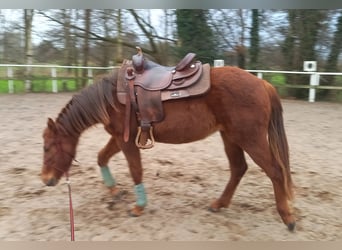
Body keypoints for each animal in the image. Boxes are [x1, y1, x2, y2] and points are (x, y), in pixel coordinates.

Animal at [40, 64, 296, 230]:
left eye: (47, 147)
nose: (46, 180)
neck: (112, 97)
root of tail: (262, 83)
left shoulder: (126, 141)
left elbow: (136, 171)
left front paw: (139, 207)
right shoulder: (118, 137)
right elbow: (101, 157)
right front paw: (114, 191)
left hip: (250, 138)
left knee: (275, 171)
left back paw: (288, 218)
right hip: (231, 137)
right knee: (238, 169)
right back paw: (219, 204)